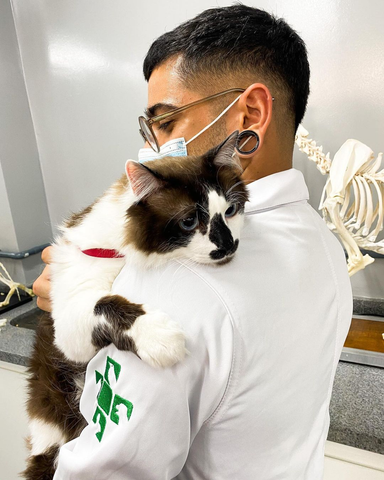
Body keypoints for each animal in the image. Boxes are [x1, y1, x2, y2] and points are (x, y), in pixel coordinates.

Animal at [23, 132, 249, 480]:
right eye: (189, 222)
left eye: (232, 210)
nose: (228, 245)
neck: (123, 249)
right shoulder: (69, 323)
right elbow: (106, 304)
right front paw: (158, 337)